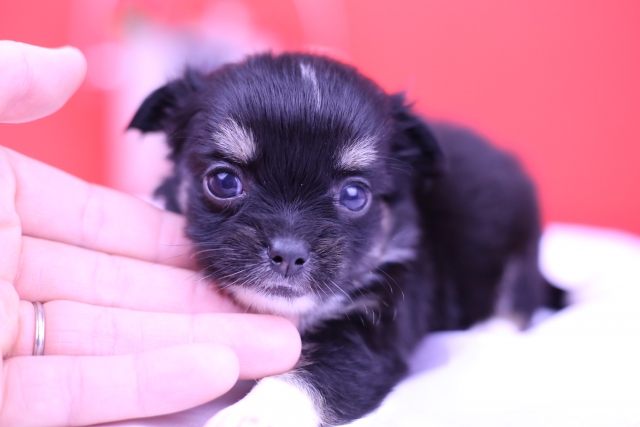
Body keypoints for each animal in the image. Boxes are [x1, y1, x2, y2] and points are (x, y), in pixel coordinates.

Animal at [128, 52, 556, 426]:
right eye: (223, 182)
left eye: (353, 195)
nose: (288, 254)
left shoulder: (373, 327)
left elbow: (308, 377)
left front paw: (250, 417)